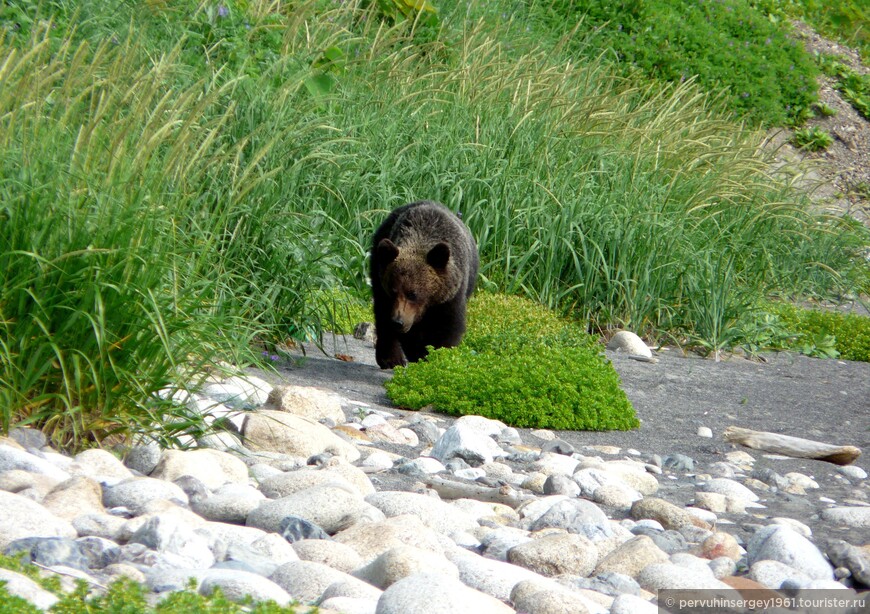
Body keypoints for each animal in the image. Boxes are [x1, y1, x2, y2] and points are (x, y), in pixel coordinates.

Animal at [368, 201, 476, 370]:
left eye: (413, 294)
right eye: (393, 291)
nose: (398, 322)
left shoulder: (451, 297)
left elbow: (447, 328)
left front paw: (435, 357)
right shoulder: (385, 292)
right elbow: (387, 318)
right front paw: (408, 355)